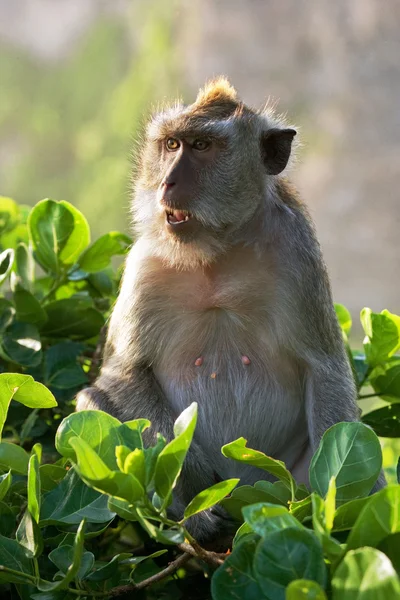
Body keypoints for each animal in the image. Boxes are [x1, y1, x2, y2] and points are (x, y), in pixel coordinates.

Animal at [75, 77, 384, 540]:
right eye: (171, 144)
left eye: (202, 146)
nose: (168, 183)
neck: (215, 255)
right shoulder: (146, 263)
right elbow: (124, 371)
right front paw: (196, 480)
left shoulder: (298, 252)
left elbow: (326, 370)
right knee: (94, 400)